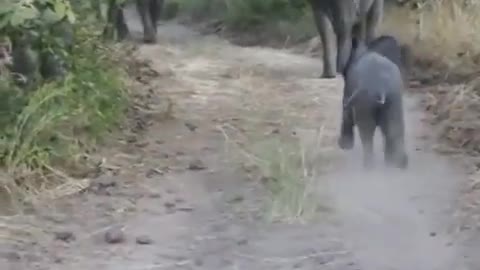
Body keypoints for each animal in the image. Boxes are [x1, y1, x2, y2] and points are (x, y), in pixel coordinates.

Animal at [338, 38, 408, 169]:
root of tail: (381, 86)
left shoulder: (349, 90)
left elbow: (346, 112)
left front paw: (344, 146)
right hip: (394, 96)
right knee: (394, 127)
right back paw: (398, 163)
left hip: (366, 101)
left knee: (367, 131)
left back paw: (369, 166)